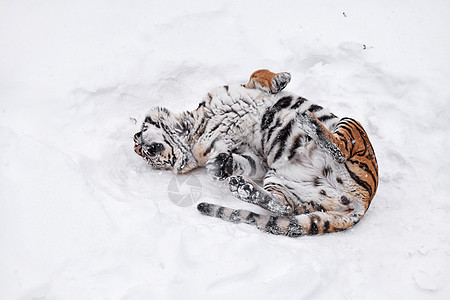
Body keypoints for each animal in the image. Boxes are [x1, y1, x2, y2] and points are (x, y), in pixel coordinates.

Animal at [132, 69, 378, 236]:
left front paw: (282, 78)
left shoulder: (241, 89)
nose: (138, 145)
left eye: (144, 153)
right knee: (285, 206)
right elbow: (246, 163)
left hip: (350, 124)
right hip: (281, 181)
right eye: (148, 158)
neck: (193, 130)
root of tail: (363, 203)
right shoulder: (253, 155)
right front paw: (220, 166)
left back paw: (307, 121)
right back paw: (242, 187)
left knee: (339, 147)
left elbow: (258, 74)